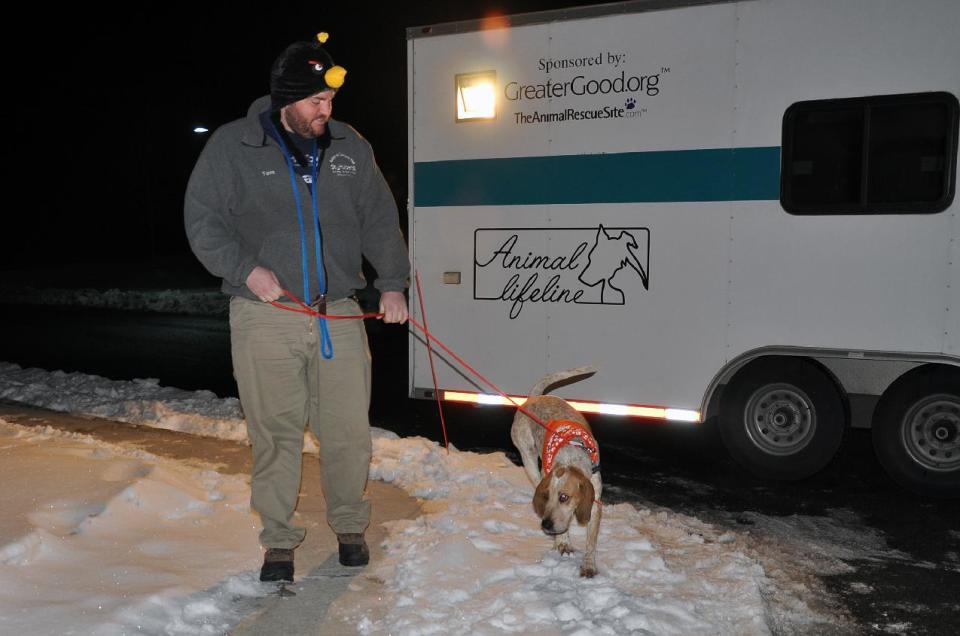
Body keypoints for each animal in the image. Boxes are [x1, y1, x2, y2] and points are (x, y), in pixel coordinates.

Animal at [510, 366, 600, 580]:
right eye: (545, 496)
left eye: (564, 497)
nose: (545, 526)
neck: (572, 457)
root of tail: (534, 397)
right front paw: (562, 542)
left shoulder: (596, 501)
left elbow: (591, 541)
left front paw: (589, 565)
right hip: (528, 459)